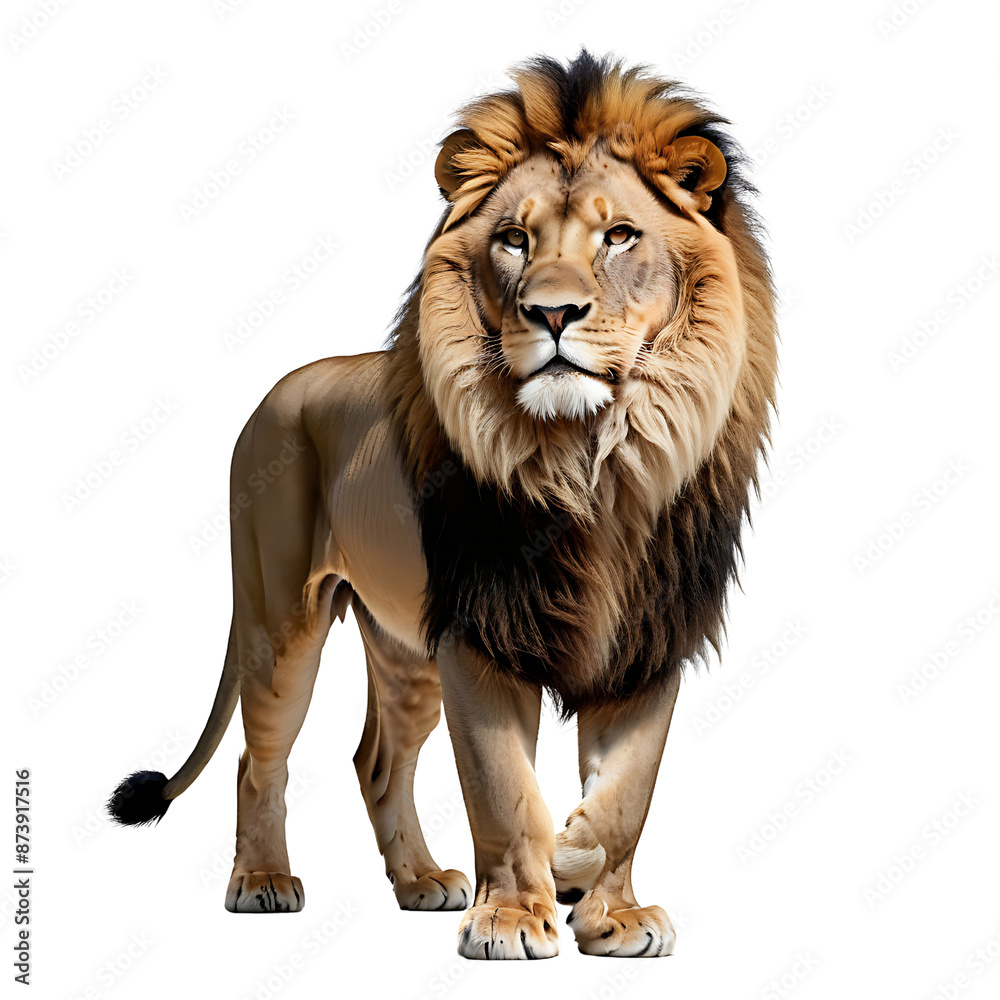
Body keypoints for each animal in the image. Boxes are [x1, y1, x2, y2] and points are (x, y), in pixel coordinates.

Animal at [108, 51, 777, 960]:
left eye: (620, 236)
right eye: (514, 239)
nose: (553, 312)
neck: (591, 464)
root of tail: (278, 391)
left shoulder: (648, 641)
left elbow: (625, 798)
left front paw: (607, 908)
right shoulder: (479, 633)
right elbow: (503, 791)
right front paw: (516, 915)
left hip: (404, 649)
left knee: (377, 762)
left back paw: (421, 880)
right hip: (281, 619)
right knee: (260, 757)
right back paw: (263, 882)